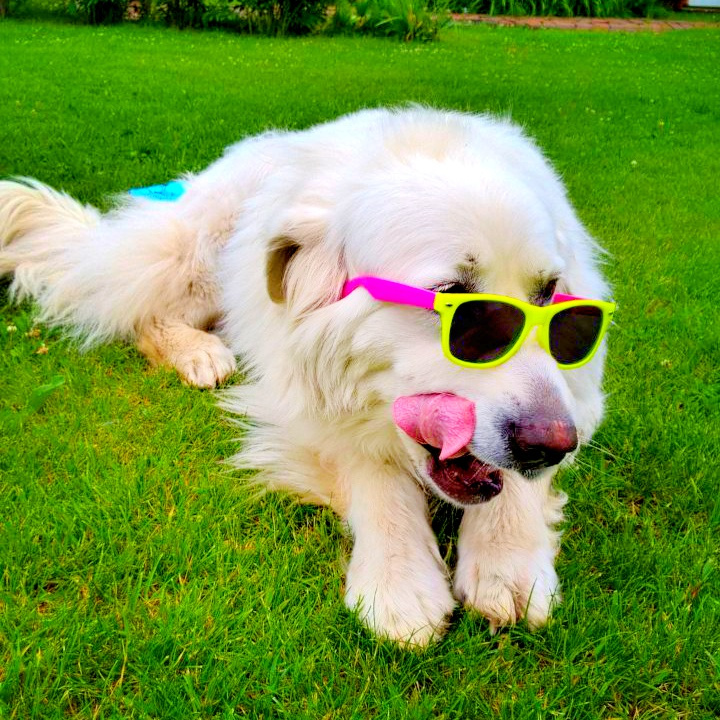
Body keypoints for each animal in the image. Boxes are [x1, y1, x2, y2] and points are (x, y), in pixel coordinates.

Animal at [0, 107, 612, 645]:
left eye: (550, 296)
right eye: (458, 302)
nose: (549, 445)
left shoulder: (572, 400)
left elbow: (516, 484)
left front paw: (508, 566)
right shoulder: (302, 406)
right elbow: (375, 478)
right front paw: (399, 583)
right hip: (202, 259)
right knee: (140, 312)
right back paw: (200, 353)